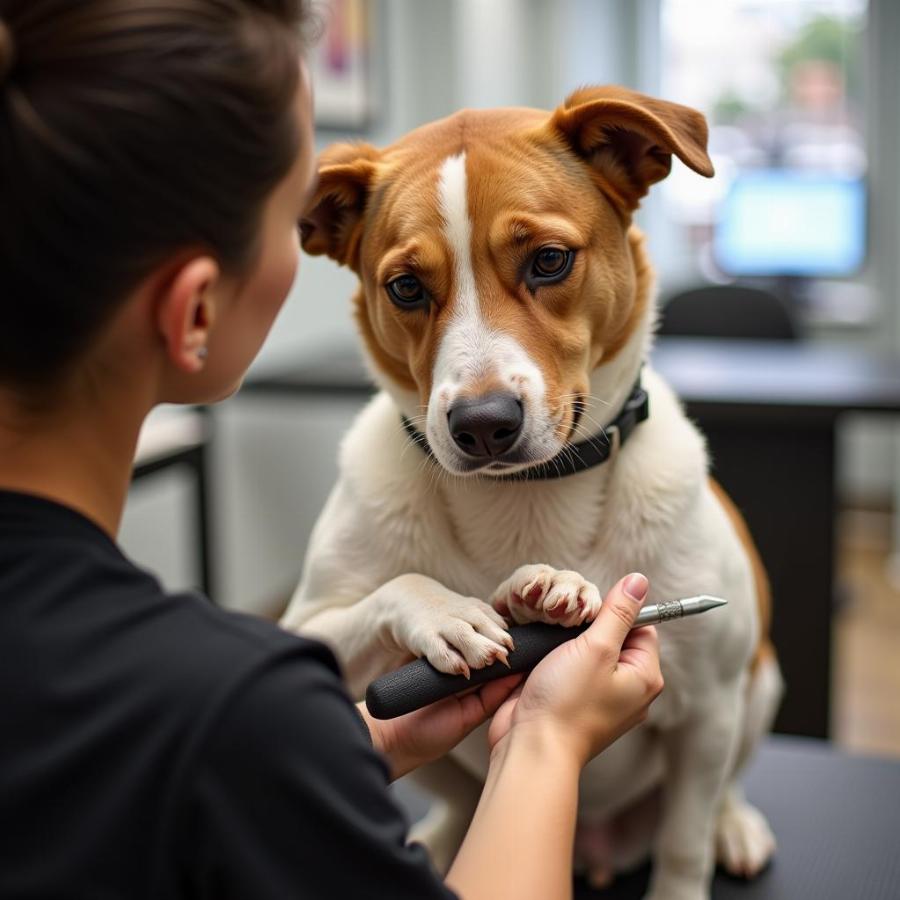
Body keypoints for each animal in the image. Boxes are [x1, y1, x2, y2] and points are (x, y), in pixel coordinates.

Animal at [284, 86, 784, 900]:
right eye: (406, 287)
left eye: (549, 261)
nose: (483, 425)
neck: (525, 496)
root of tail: (595, 843)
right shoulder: (305, 626)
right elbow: (389, 590)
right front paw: (452, 611)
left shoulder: (709, 710)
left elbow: (682, 848)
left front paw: (549, 587)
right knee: (460, 800)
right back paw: (442, 836)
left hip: (756, 688)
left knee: (717, 797)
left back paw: (735, 826)